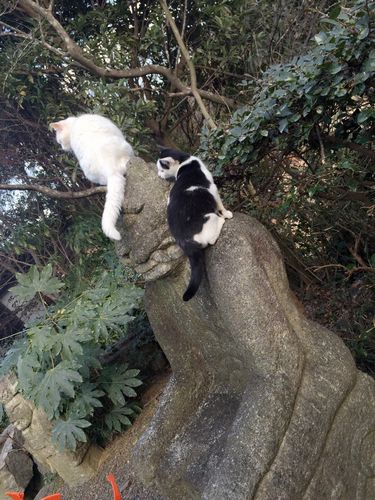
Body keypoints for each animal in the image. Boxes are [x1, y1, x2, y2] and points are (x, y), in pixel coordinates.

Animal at [157, 148, 234, 300]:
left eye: (161, 169)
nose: (158, 174)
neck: (185, 161)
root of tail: (185, 242)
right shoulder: (213, 189)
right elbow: (221, 206)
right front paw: (227, 213)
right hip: (210, 218)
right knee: (212, 239)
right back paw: (221, 220)